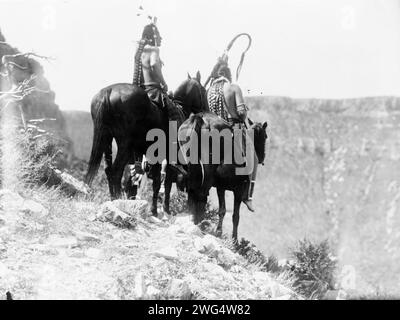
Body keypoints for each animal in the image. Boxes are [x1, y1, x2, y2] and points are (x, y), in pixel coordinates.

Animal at [85, 72, 208, 208]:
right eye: (203, 90)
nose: (206, 110)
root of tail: (109, 91)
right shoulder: (166, 158)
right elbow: (163, 184)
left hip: (107, 139)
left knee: (109, 170)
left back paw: (113, 198)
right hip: (125, 145)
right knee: (116, 171)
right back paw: (118, 199)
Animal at [179, 112, 268, 240]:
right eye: (265, 136)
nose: (262, 157)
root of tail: (200, 118)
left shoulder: (221, 187)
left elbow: (222, 210)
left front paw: (219, 232)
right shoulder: (238, 190)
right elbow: (236, 215)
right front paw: (234, 240)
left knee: (193, 192)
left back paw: (193, 221)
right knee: (200, 195)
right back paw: (199, 224)